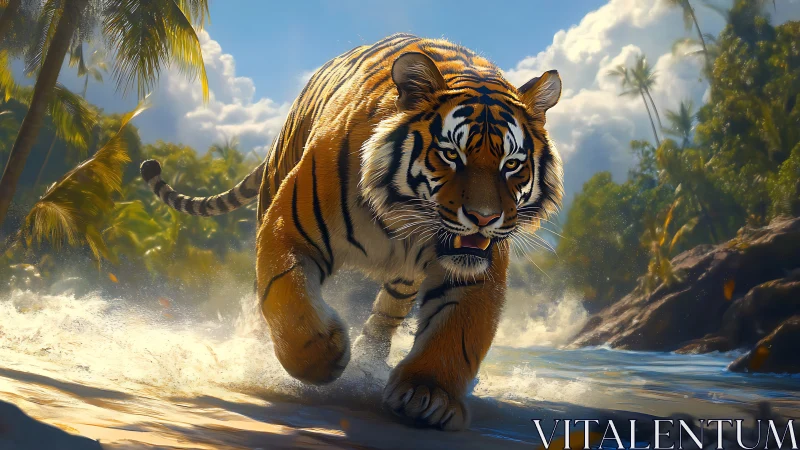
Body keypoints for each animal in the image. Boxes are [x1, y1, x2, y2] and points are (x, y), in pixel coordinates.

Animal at [140, 33, 563, 431]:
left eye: (512, 164)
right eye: (450, 155)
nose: (483, 218)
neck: (405, 218)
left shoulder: (476, 268)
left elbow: (458, 332)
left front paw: (429, 394)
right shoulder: (287, 230)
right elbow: (286, 295)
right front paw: (322, 358)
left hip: (404, 280)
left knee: (385, 314)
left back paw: (369, 362)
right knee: (262, 300)